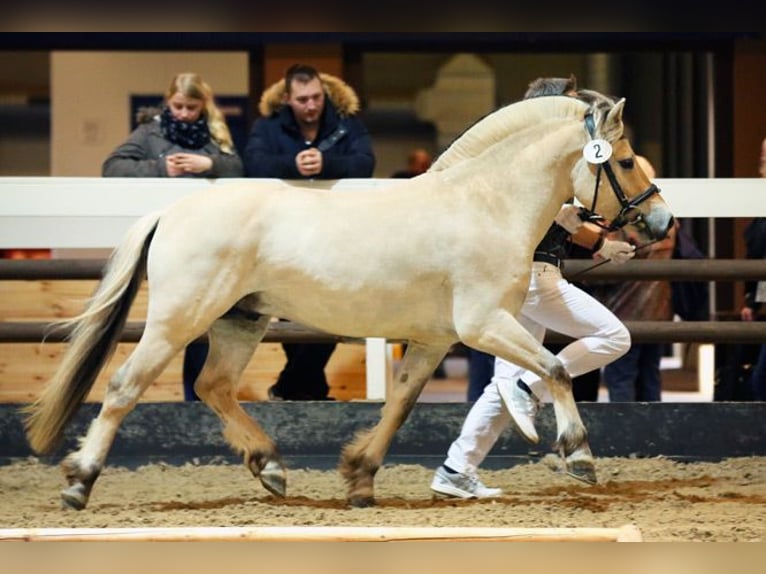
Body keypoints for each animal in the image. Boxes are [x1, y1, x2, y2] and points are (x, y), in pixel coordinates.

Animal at [23, 91, 674, 510]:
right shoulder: (483, 324)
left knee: (214, 387)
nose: (663, 221)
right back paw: (79, 483)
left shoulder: (435, 339)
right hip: (178, 321)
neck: (485, 204)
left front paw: (360, 479)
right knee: (123, 387)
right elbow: (557, 369)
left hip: (240, 321)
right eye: (622, 161)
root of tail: (172, 209)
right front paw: (579, 456)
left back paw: (271, 468)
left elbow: (401, 405)